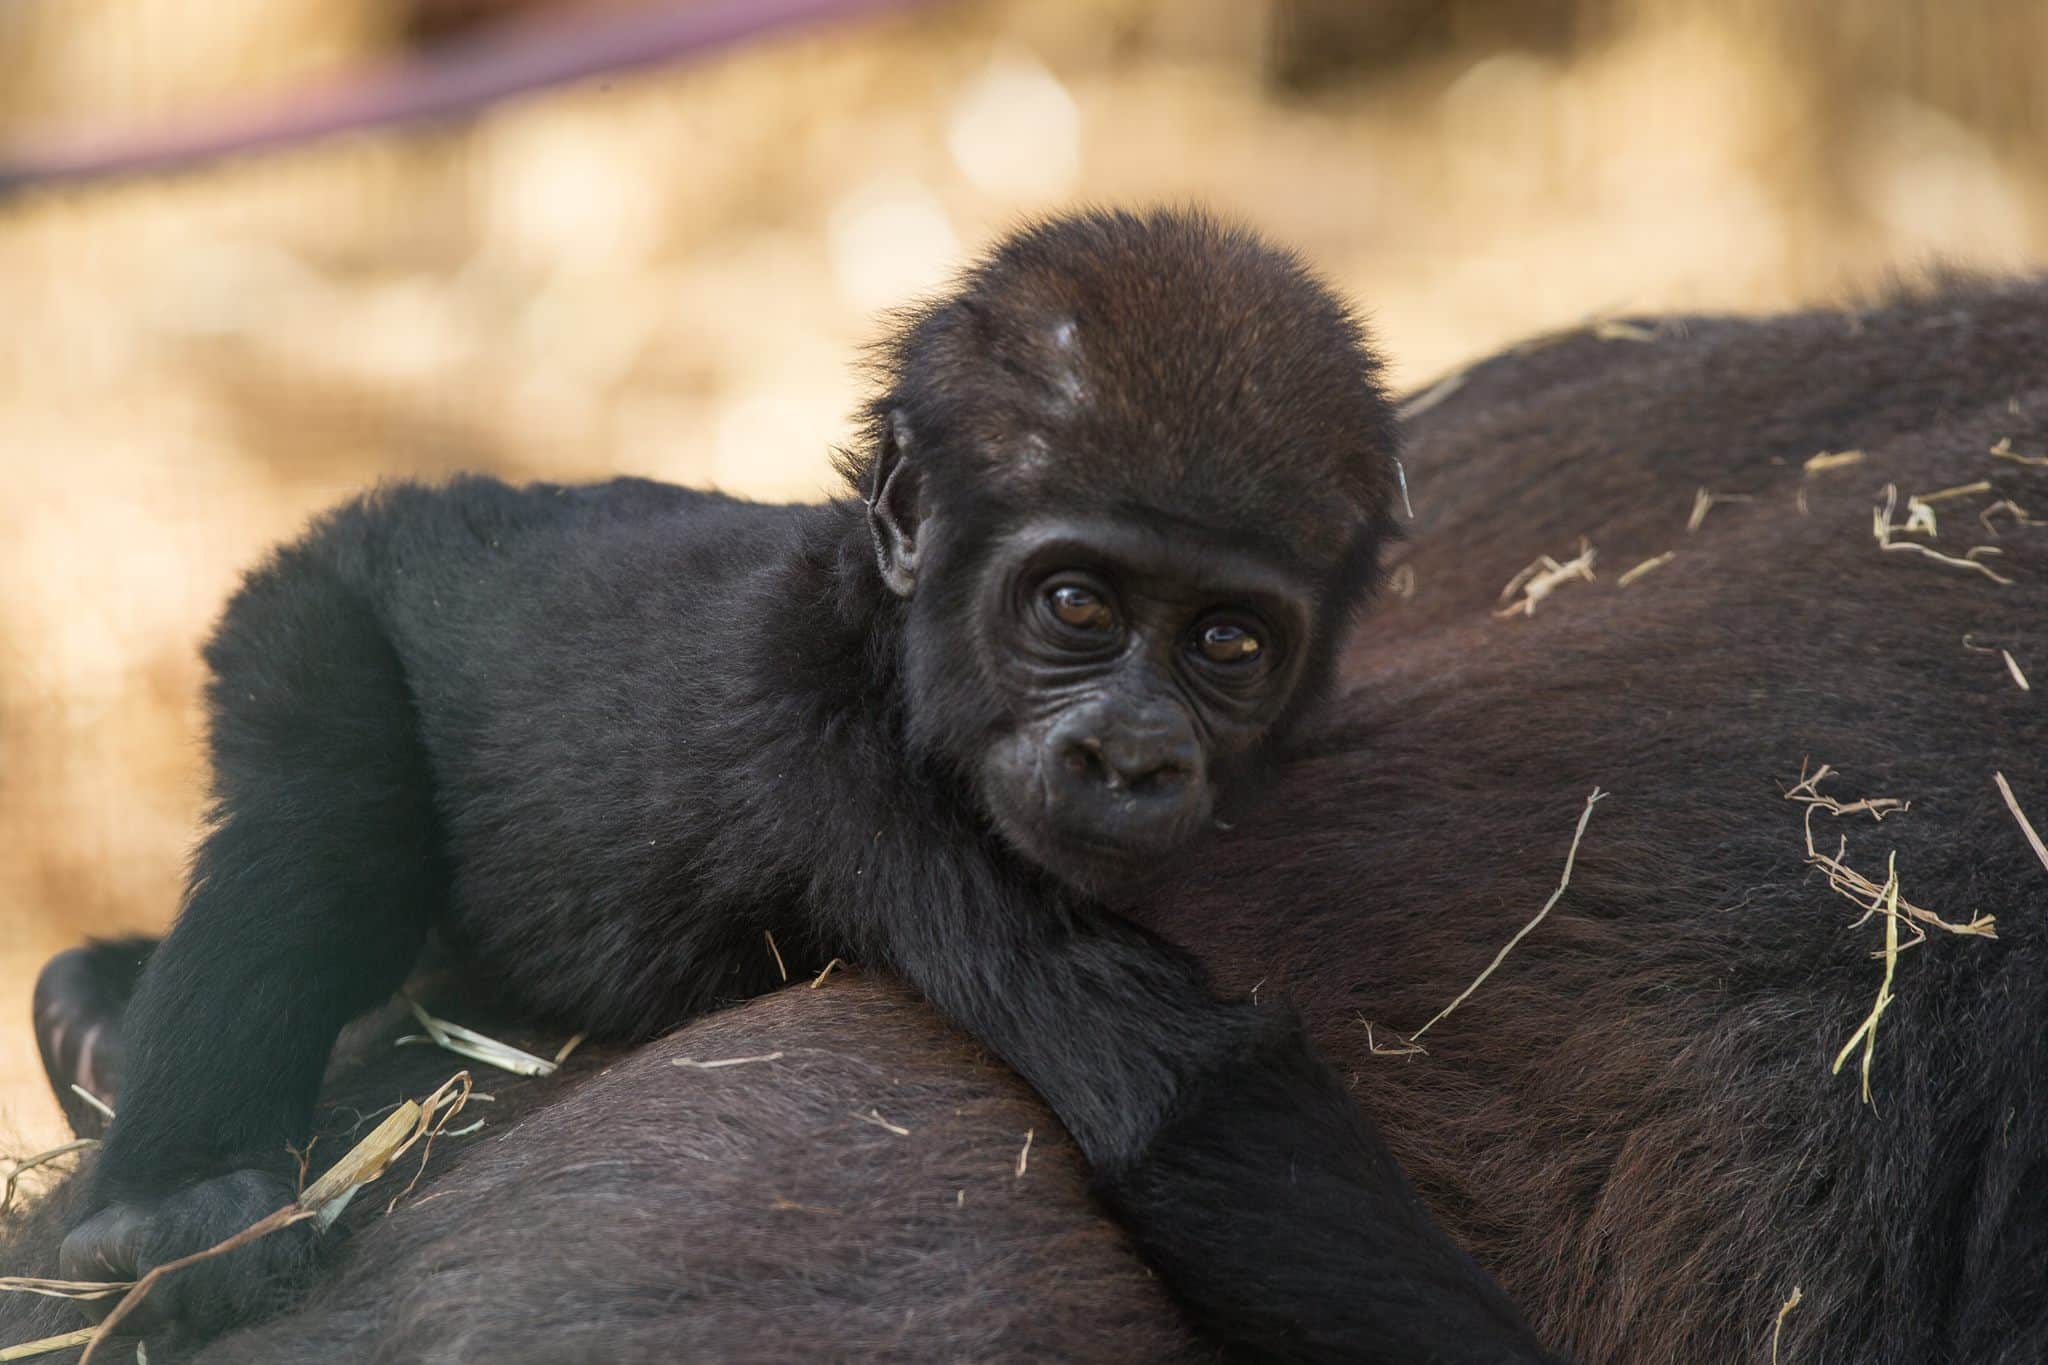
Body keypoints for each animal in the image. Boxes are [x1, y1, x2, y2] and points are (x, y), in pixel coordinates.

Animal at [11, 269, 2042, 1365]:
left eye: (1227, 644)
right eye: (1073, 604)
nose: (1132, 756)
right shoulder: (869, 780)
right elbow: (1191, 1094)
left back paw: (103, 1031)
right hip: (317, 611)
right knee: (314, 807)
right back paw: (156, 1203)